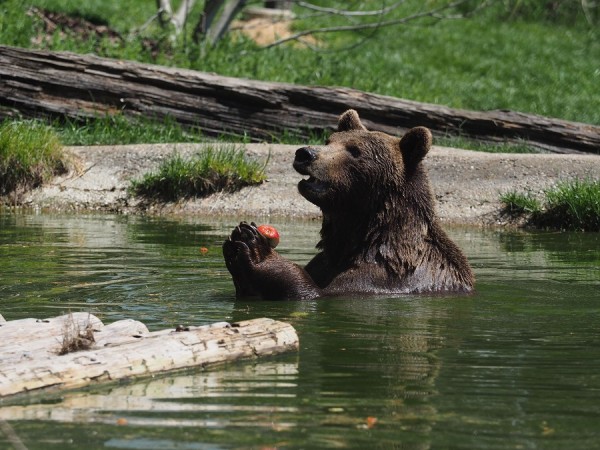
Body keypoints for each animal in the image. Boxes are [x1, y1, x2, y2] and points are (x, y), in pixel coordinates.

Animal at [223, 108, 476, 298]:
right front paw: (237, 246)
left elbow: (315, 292)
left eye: (355, 151)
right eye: (329, 141)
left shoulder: (383, 277)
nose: (305, 153)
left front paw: (256, 248)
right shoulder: (326, 262)